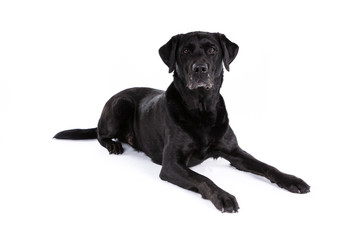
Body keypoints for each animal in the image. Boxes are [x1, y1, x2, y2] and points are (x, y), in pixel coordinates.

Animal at [54, 31, 310, 213]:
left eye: (212, 50)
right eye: (186, 51)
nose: (200, 68)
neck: (202, 110)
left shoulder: (235, 152)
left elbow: (266, 166)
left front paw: (292, 180)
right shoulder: (171, 165)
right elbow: (203, 178)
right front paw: (224, 196)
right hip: (121, 104)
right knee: (100, 133)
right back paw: (114, 144)